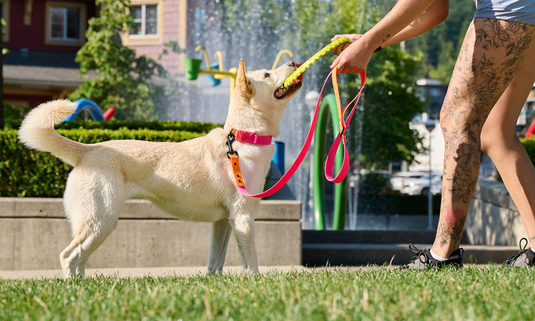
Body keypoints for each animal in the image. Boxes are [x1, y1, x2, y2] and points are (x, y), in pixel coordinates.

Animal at [19, 60, 302, 278]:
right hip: (101, 221)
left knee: (80, 260)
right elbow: (251, 261)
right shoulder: (243, 216)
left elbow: (215, 262)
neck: (243, 138)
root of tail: (87, 149)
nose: (294, 62)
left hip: (98, 226)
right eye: (266, 74)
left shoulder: (224, 221)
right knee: (68, 256)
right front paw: (254, 281)